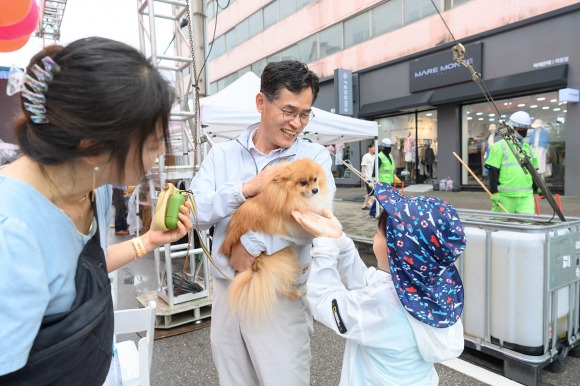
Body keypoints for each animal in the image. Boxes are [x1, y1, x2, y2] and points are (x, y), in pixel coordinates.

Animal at [221, 157, 330, 322]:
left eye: (315, 179)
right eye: (303, 182)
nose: (315, 190)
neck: (287, 193)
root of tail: (255, 268)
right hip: (281, 256)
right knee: (282, 285)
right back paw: (301, 291)